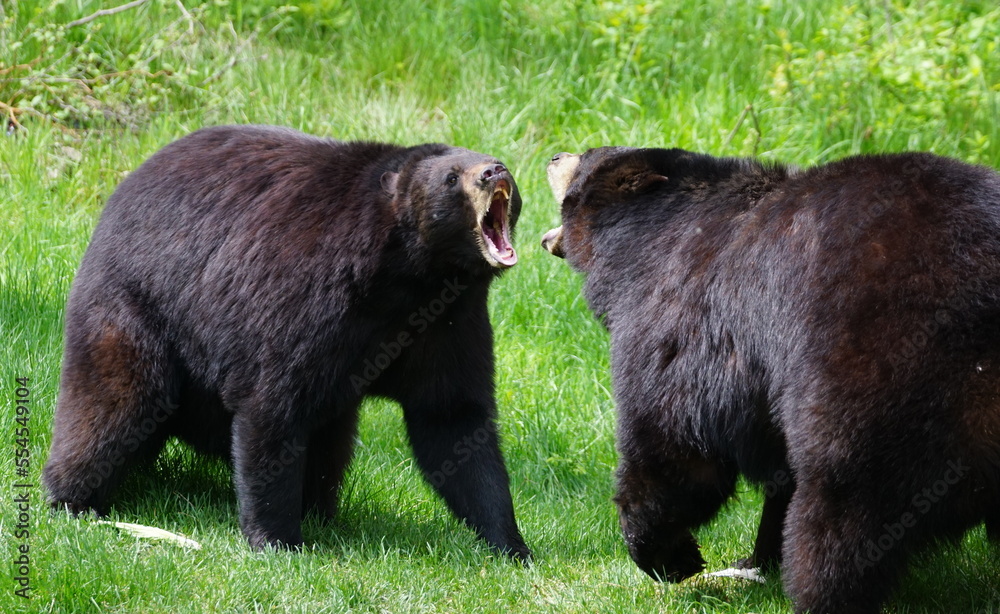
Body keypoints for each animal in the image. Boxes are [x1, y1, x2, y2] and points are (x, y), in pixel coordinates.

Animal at [45, 125, 532, 564]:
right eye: (451, 176)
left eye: (495, 160)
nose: (495, 170)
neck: (408, 277)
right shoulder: (307, 294)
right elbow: (273, 405)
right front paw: (277, 539)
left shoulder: (449, 324)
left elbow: (452, 418)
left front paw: (511, 544)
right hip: (138, 308)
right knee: (118, 403)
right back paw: (72, 497)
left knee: (330, 441)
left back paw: (320, 510)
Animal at [544, 148, 1000, 614]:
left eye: (586, 157)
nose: (556, 154)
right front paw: (755, 557)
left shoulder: (679, 318)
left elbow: (673, 442)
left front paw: (670, 555)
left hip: (875, 377)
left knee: (843, 511)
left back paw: (819, 593)